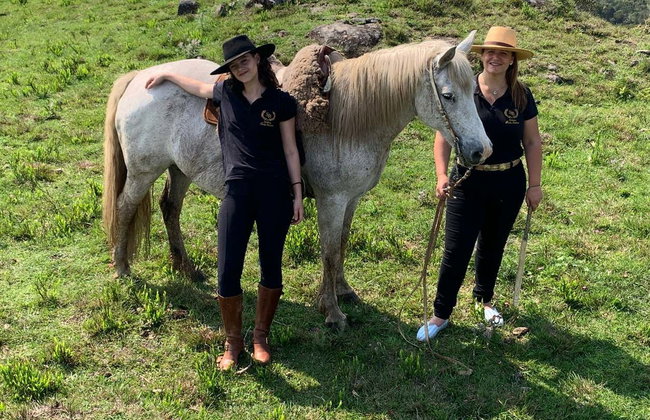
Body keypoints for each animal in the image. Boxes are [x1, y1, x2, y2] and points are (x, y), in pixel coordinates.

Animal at [102, 31, 492, 329]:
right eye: (448, 95)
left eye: (474, 90)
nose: (481, 151)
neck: (347, 118)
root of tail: (140, 78)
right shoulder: (332, 200)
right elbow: (329, 250)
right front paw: (332, 311)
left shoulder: (350, 200)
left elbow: (342, 245)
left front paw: (343, 291)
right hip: (143, 171)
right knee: (125, 207)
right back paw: (122, 268)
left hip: (181, 168)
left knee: (170, 209)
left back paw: (186, 268)